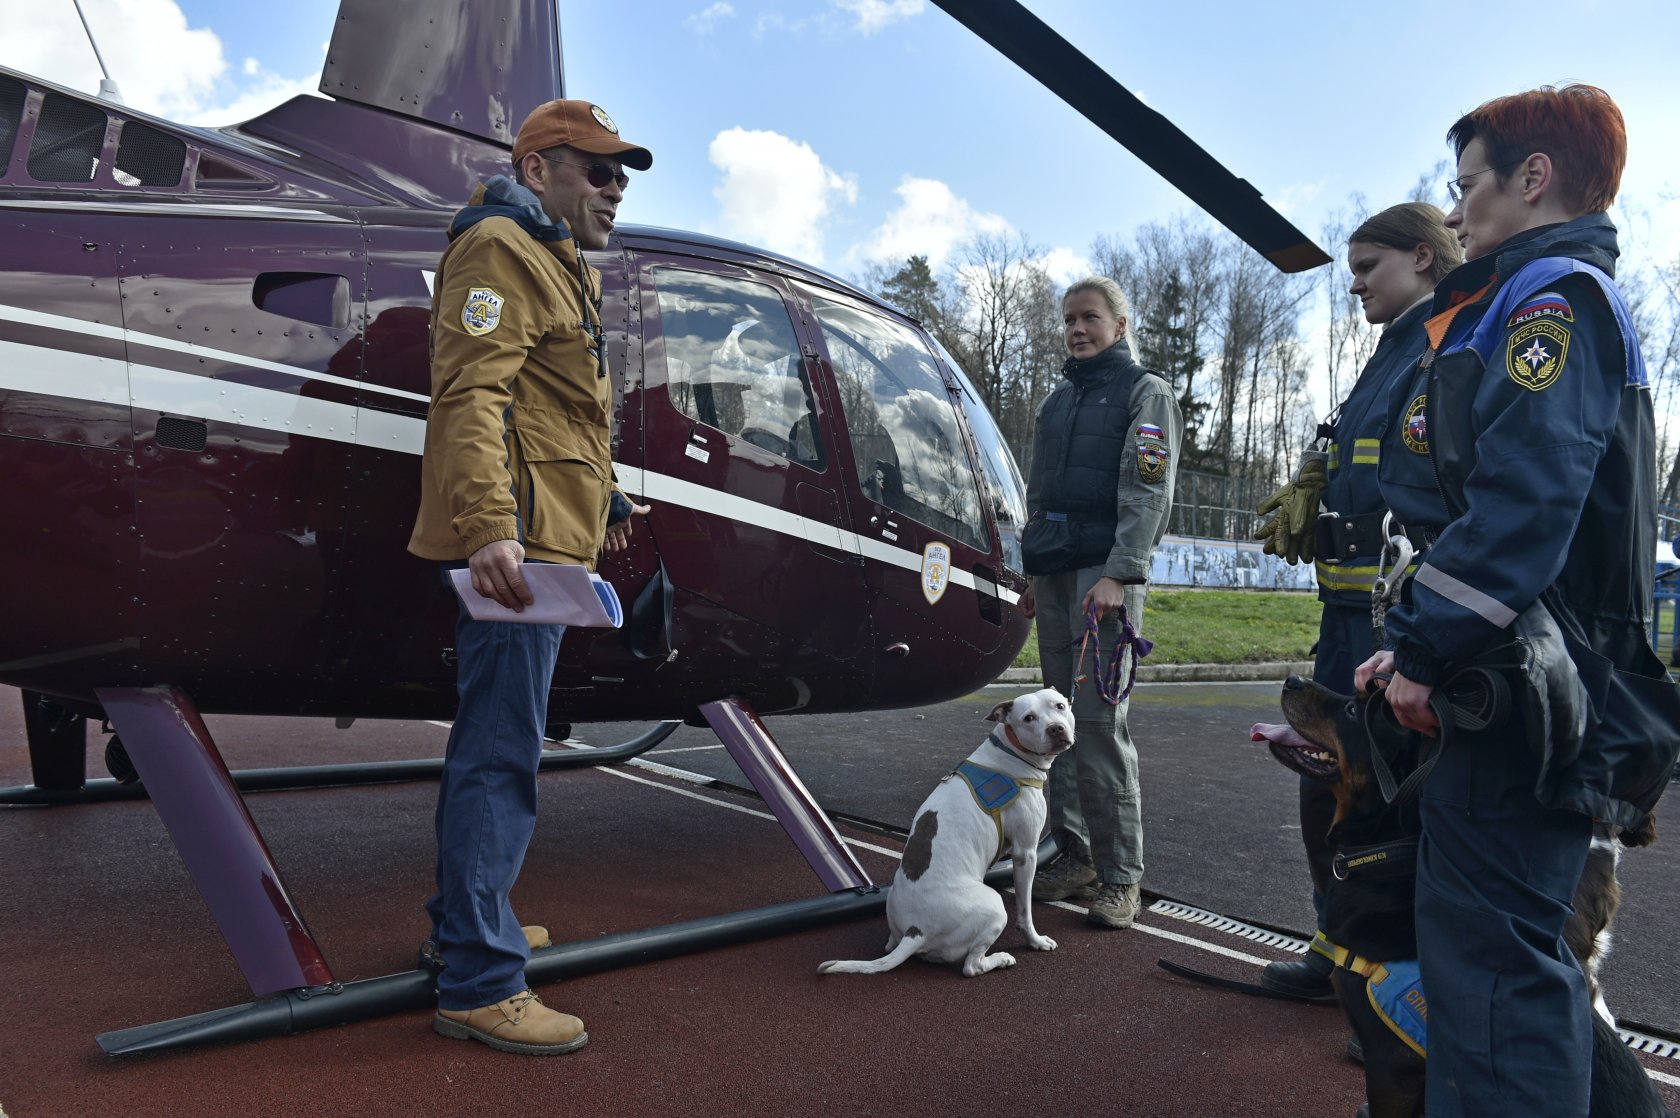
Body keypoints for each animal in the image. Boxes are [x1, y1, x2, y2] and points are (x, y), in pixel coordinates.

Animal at [816, 689, 1075, 975]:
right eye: (1028, 718)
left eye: (1060, 706)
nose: (1056, 728)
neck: (1009, 751)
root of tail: (915, 931)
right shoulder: (1025, 853)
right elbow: (1025, 910)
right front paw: (1035, 941)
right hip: (994, 906)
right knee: (971, 966)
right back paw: (1000, 959)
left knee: (891, 946)